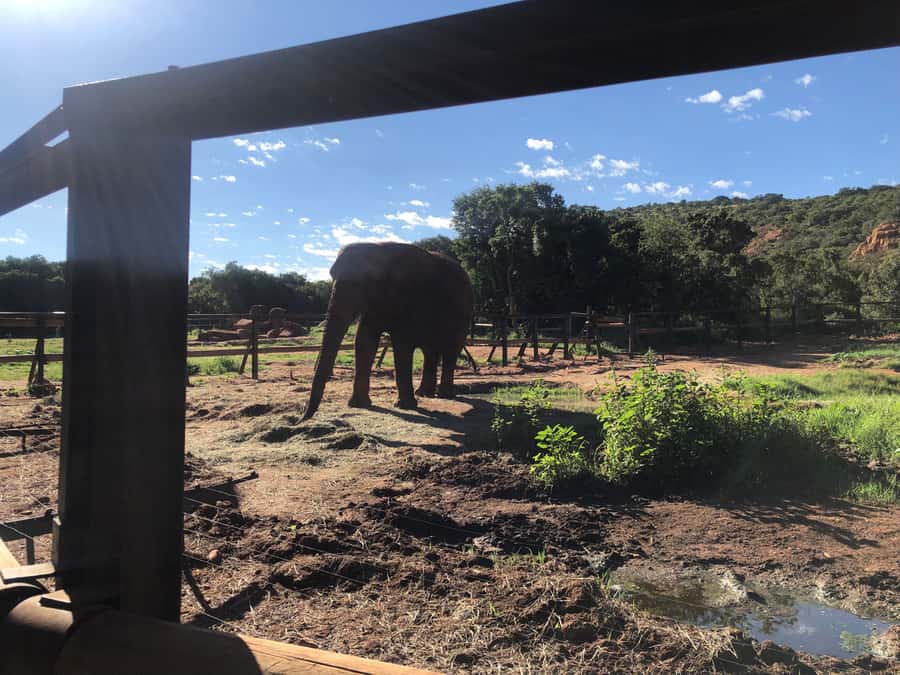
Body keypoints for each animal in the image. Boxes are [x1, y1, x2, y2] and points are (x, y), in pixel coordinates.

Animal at [302, 242, 474, 420]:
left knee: (451, 349)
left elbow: (402, 345)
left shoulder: (409, 298)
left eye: (360, 283)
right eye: (333, 276)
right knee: (430, 351)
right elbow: (364, 341)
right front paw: (358, 404)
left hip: (463, 313)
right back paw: (424, 393)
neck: (379, 249)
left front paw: (404, 406)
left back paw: (444, 395)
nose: (301, 416)